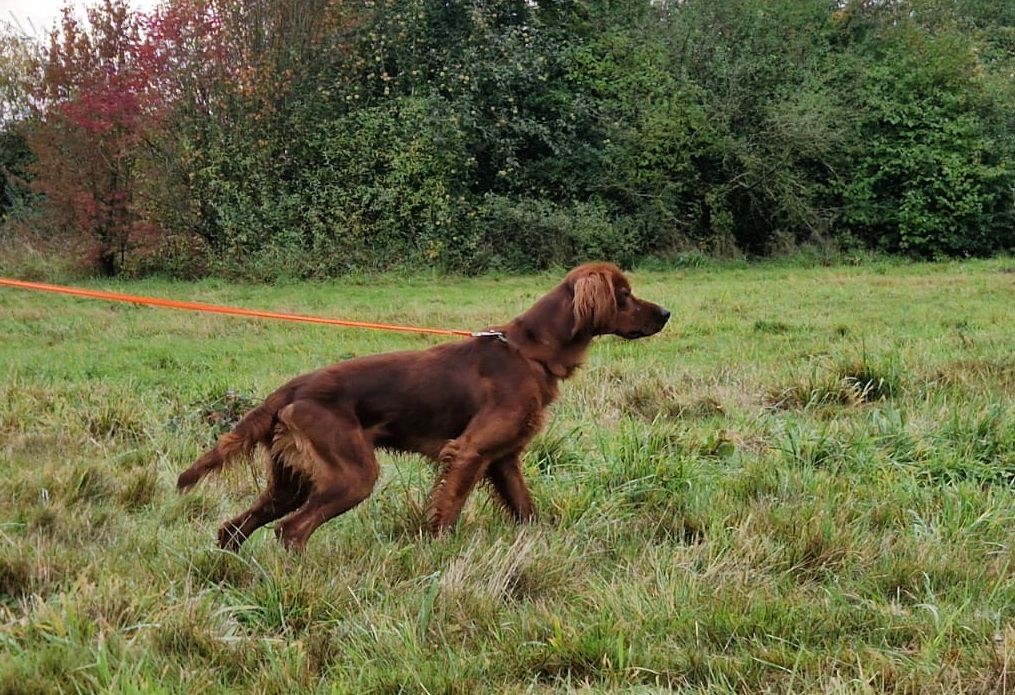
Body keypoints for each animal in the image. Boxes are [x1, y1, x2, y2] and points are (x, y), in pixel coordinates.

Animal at [178, 263, 669, 551]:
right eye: (624, 294)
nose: (665, 313)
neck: (529, 352)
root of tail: (291, 388)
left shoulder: (504, 460)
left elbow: (527, 510)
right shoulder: (469, 452)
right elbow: (448, 512)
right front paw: (437, 556)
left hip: (293, 482)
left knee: (234, 527)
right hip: (353, 474)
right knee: (291, 530)